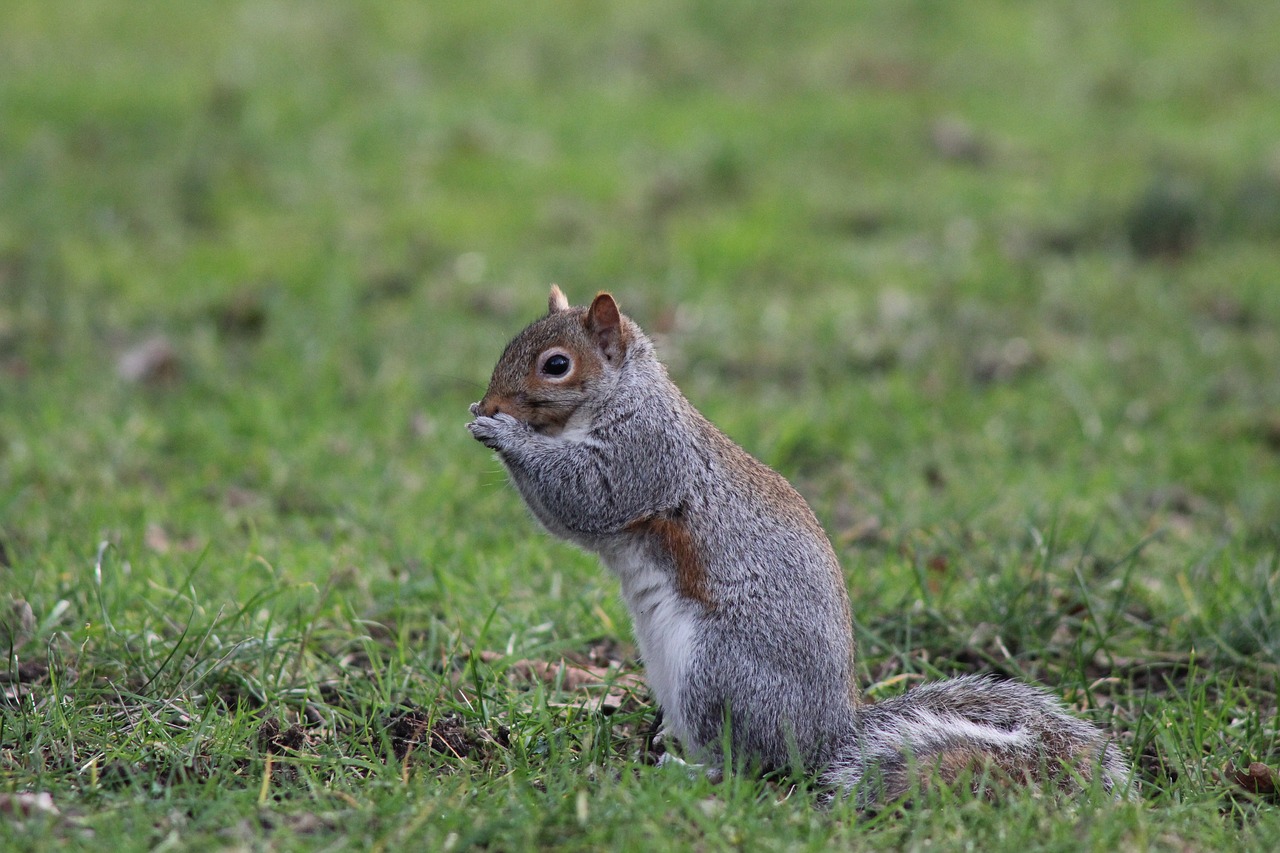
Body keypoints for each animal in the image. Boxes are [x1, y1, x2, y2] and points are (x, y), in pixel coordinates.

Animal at [468, 286, 1131, 804]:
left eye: (556, 365)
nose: (492, 401)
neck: (621, 399)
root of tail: (832, 737)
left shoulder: (643, 457)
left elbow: (584, 497)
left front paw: (503, 433)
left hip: (717, 674)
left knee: (746, 765)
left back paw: (684, 771)